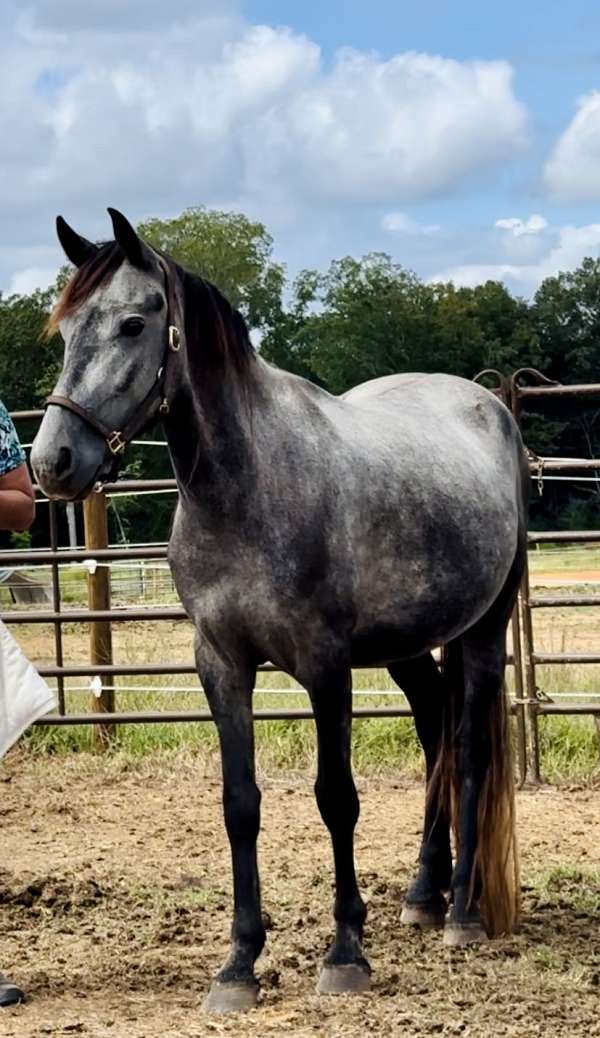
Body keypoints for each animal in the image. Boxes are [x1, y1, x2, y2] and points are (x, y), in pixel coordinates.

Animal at [28, 210, 525, 1013]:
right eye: (67, 328)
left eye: (133, 323)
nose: (52, 464)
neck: (249, 485)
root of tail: (491, 408)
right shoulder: (220, 665)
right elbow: (240, 804)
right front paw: (239, 965)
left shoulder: (325, 668)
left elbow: (336, 798)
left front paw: (345, 953)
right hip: (409, 649)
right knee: (435, 739)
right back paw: (422, 895)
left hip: (482, 630)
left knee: (469, 750)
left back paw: (462, 913)